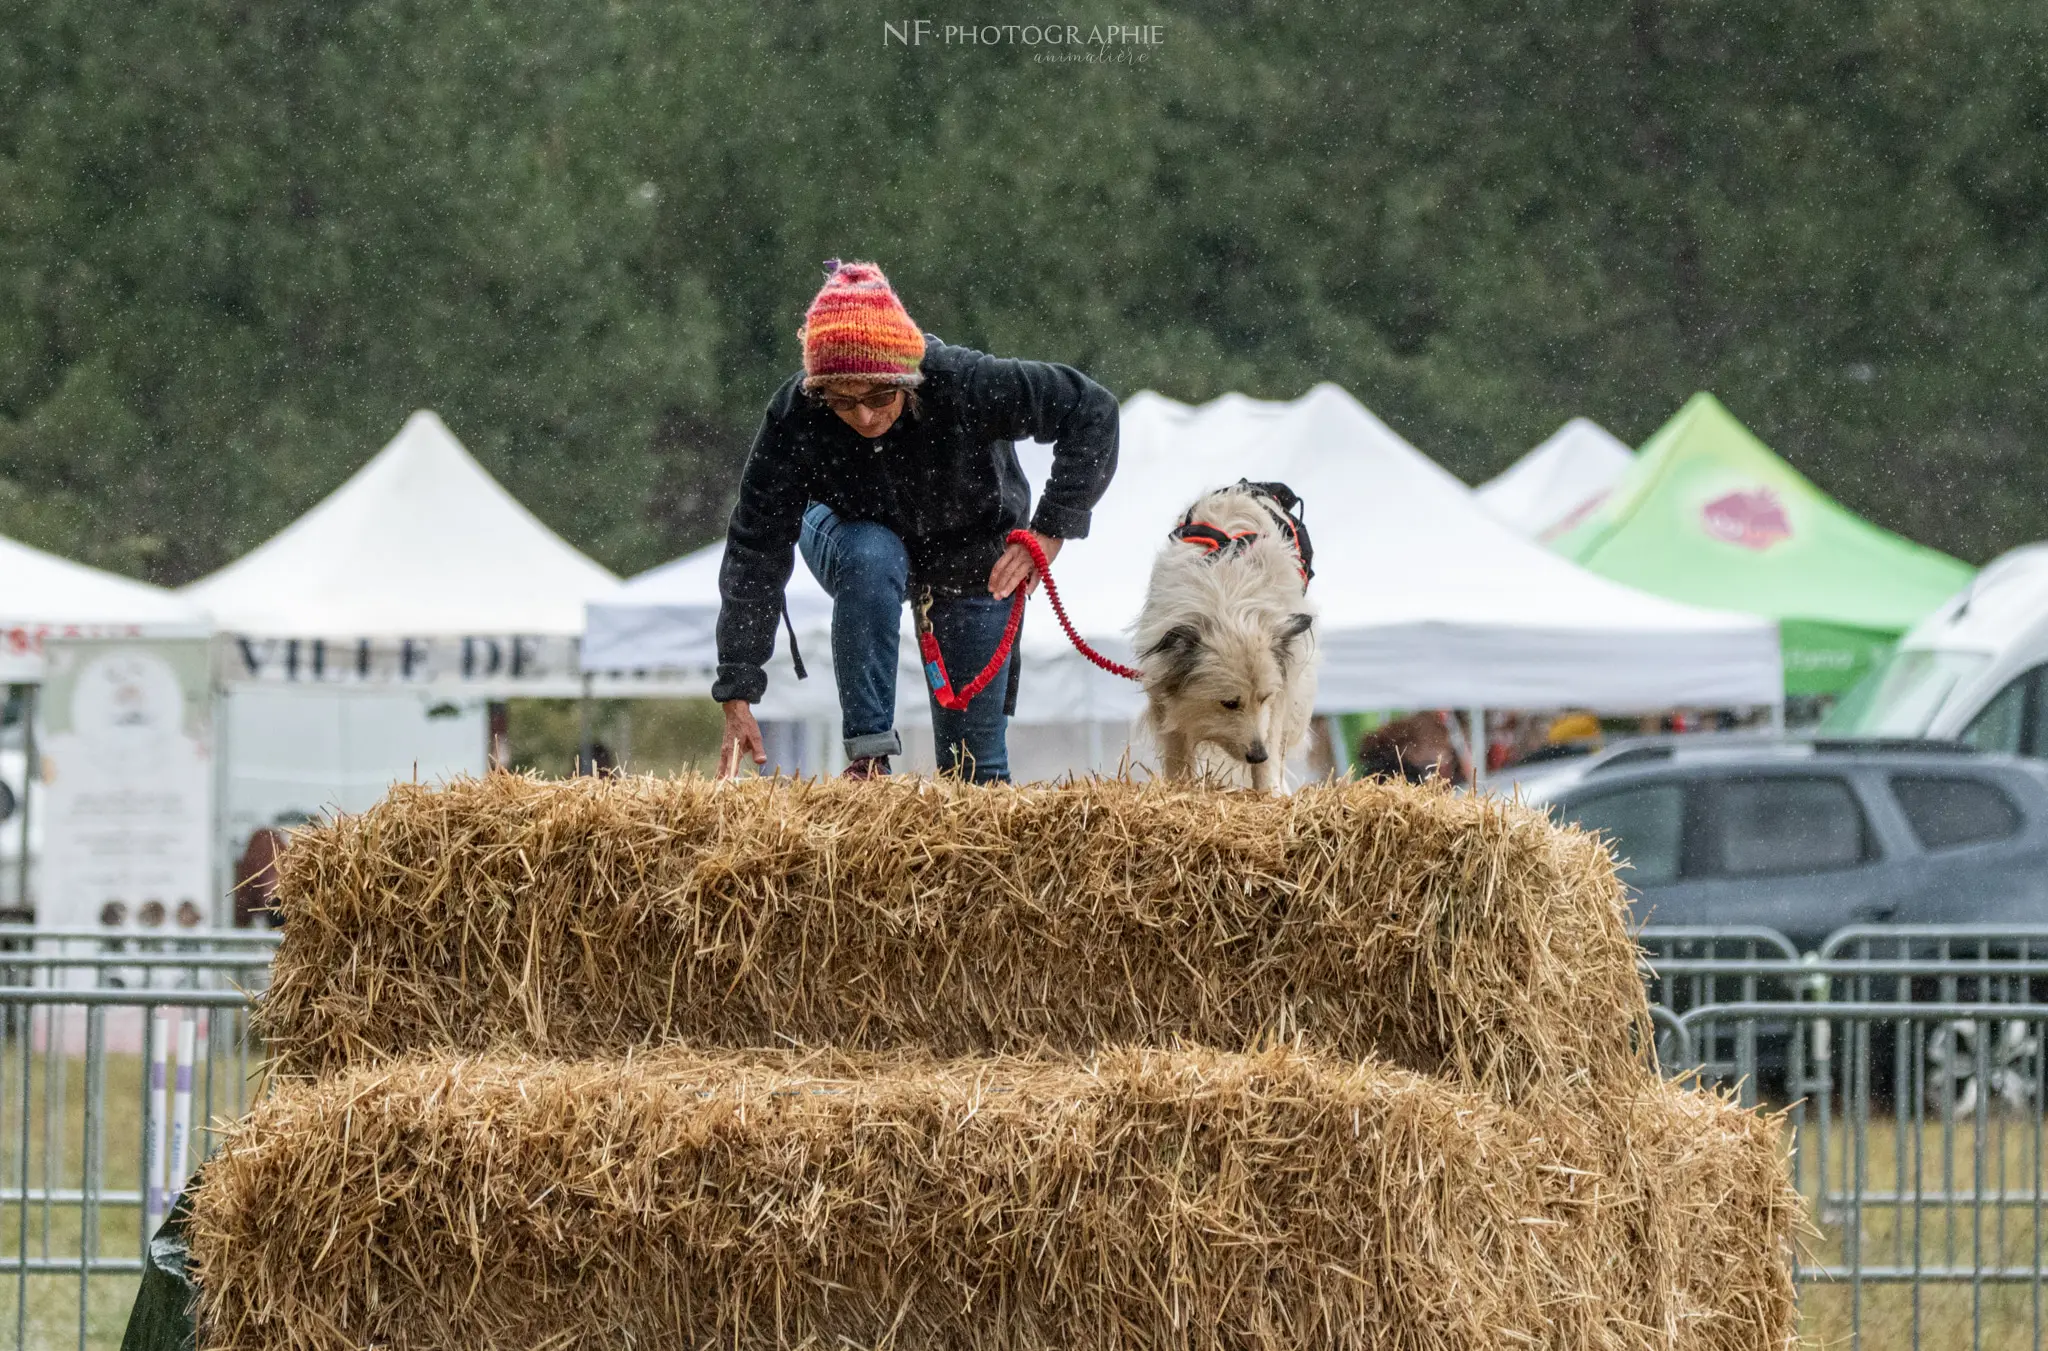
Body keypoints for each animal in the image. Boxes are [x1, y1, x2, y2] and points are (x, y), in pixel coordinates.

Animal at [1130, 481, 1318, 790]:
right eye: (1229, 703)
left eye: (1264, 698)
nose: (1257, 755)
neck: (1227, 600)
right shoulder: (1163, 688)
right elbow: (1177, 749)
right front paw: (1179, 789)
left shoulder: (1281, 687)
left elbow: (1272, 739)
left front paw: (1269, 790)